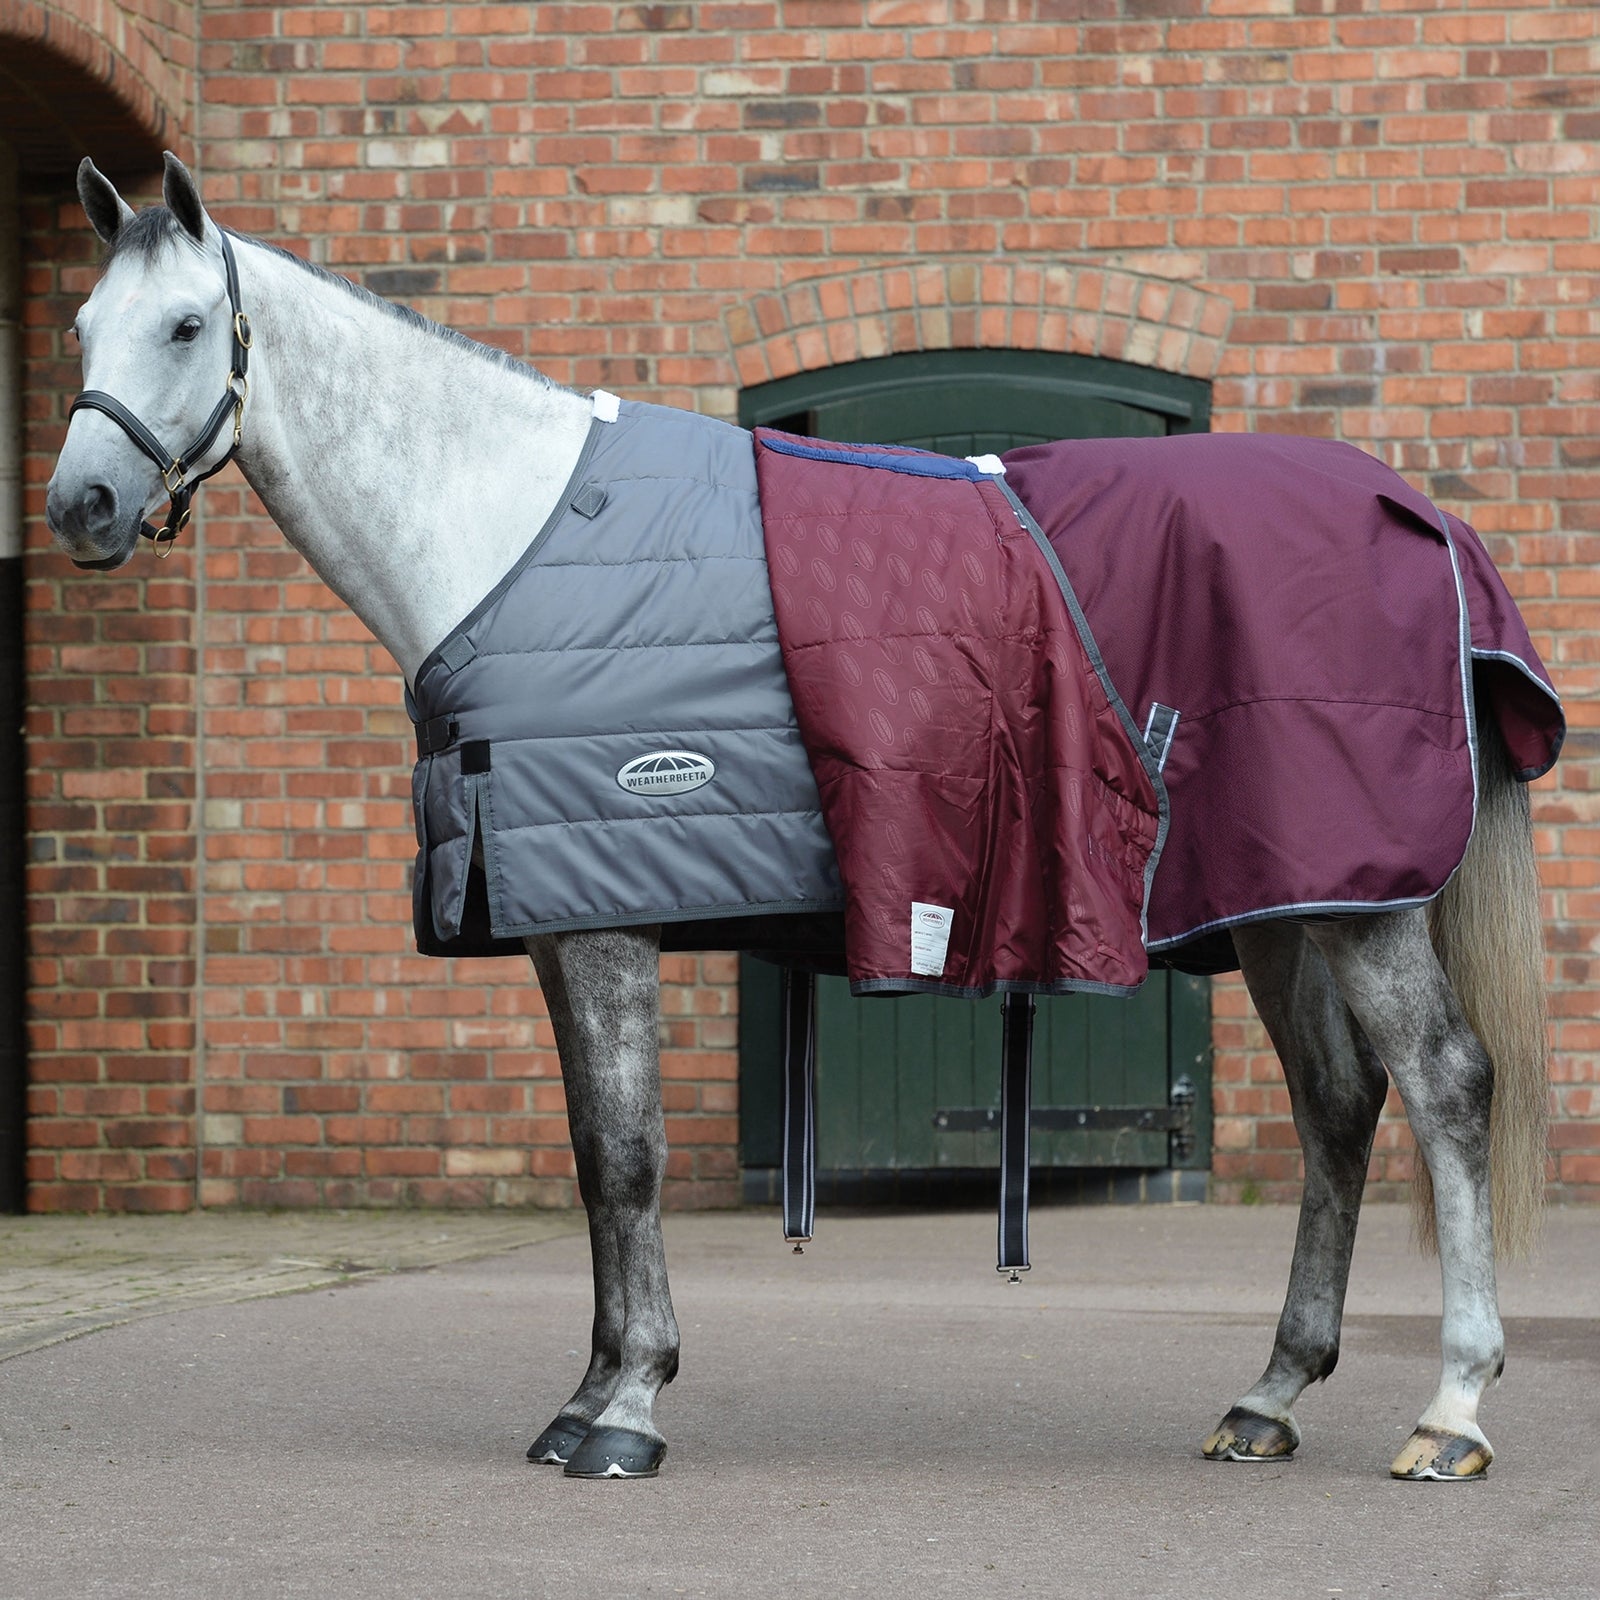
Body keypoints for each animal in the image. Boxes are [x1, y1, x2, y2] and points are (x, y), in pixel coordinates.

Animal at [45, 154, 1550, 1482]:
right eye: (78, 327)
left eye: (186, 325)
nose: (82, 505)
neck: (511, 536)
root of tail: (1418, 515)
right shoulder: (553, 920)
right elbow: (592, 1159)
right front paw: (587, 1394)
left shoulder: (609, 919)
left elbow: (630, 1160)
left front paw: (627, 1411)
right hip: (1283, 905)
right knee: (1339, 1108)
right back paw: (1270, 1394)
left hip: (1358, 906)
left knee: (1446, 1086)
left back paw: (1454, 1410)